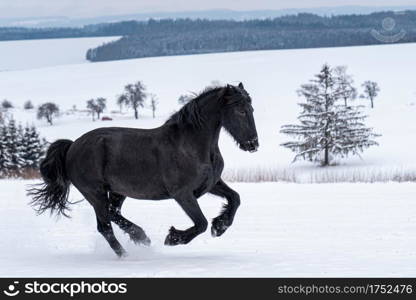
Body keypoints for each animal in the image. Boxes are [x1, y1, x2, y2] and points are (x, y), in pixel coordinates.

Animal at [28, 83, 256, 256]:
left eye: (251, 109)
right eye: (240, 110)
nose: (253, 144)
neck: (192, 145)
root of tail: (72, 146)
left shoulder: (211, 184)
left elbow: (235, 198)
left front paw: (220, 226)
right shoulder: (182, 194)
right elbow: (200, 223)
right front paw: (173, 237)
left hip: (117, 191)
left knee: (113, 214)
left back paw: (141, 237)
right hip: (94, 192)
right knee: (105, 226)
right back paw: (127, 254)